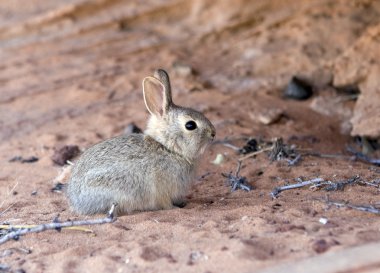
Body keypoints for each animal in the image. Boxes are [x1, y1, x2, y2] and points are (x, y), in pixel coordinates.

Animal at [66, 69, 215, 216]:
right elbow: (165, 204)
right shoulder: (162, 191)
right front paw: (175, 208)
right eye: (190, 125)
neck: (168, 148)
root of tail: (76, 201)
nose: (213, 133)